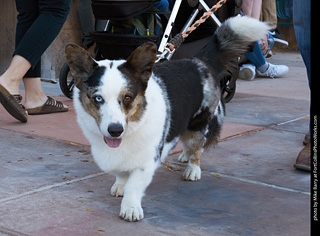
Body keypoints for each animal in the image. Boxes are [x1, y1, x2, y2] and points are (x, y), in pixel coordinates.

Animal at [65, 15, 270, 220]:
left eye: (128, 98)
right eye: (98, 98)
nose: (115, 131)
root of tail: (200, 61)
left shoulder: (147, 160)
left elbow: (134, 184)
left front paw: (131, 208)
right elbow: (122, 174)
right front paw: (120, 185)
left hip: (199, 126)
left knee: (197, 148)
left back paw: (192, 169)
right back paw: (184, 156)